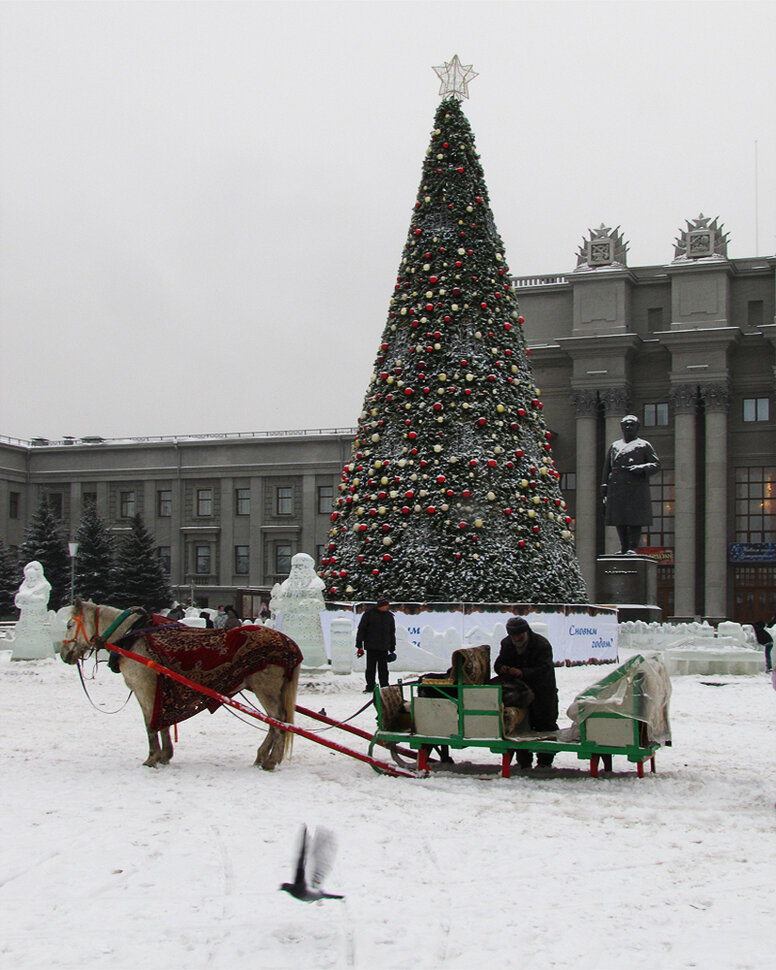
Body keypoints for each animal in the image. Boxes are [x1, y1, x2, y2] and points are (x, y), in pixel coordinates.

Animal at [60, 592, 302, 768]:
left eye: (69, 625)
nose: (63, 654)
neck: (131, 637)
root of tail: (290, 645)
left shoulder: (145, 688)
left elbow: (150, 723)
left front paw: (152, 757)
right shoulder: (162, 688)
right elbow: (163, 722)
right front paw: (165, 755)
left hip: (266, 689)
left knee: (279, 721)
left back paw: (271, 760)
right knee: (274, 722)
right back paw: (262, 756)